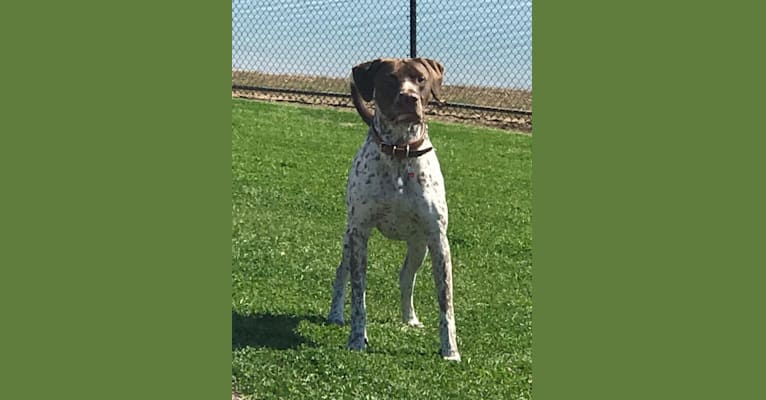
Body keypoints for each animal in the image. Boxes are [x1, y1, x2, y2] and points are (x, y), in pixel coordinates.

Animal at [328, 57, 462, 360]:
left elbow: (446, 303)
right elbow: (359, 296)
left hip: (419, 247)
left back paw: (409, 318)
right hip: (348, 239)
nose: (409, 98)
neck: (401, 150)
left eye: (421, 79)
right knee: (341, 274)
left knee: (406, 278)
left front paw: (450, 350)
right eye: (389, 79)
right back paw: (335, 315)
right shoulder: (360, 234)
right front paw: (357, 339)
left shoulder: (438, 240)